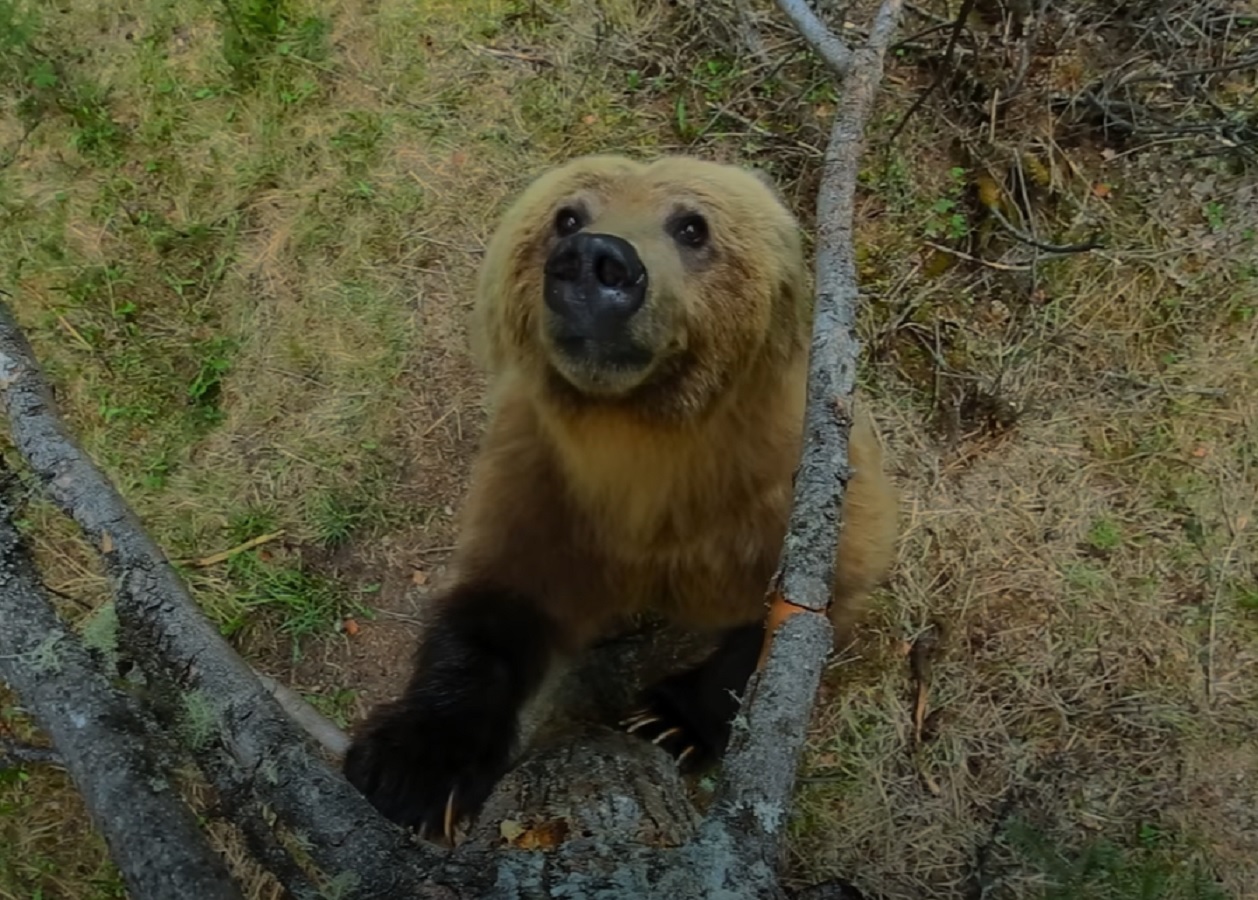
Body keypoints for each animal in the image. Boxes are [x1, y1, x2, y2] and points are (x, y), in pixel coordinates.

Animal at [342, 154, 898, 839]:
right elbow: (496, 607)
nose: (594, 261)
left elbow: (796, 614)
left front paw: (669, 721)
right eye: (566, 216)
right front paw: (413, 765)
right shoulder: (548, 490)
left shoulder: (775, 497)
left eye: (692, 225)